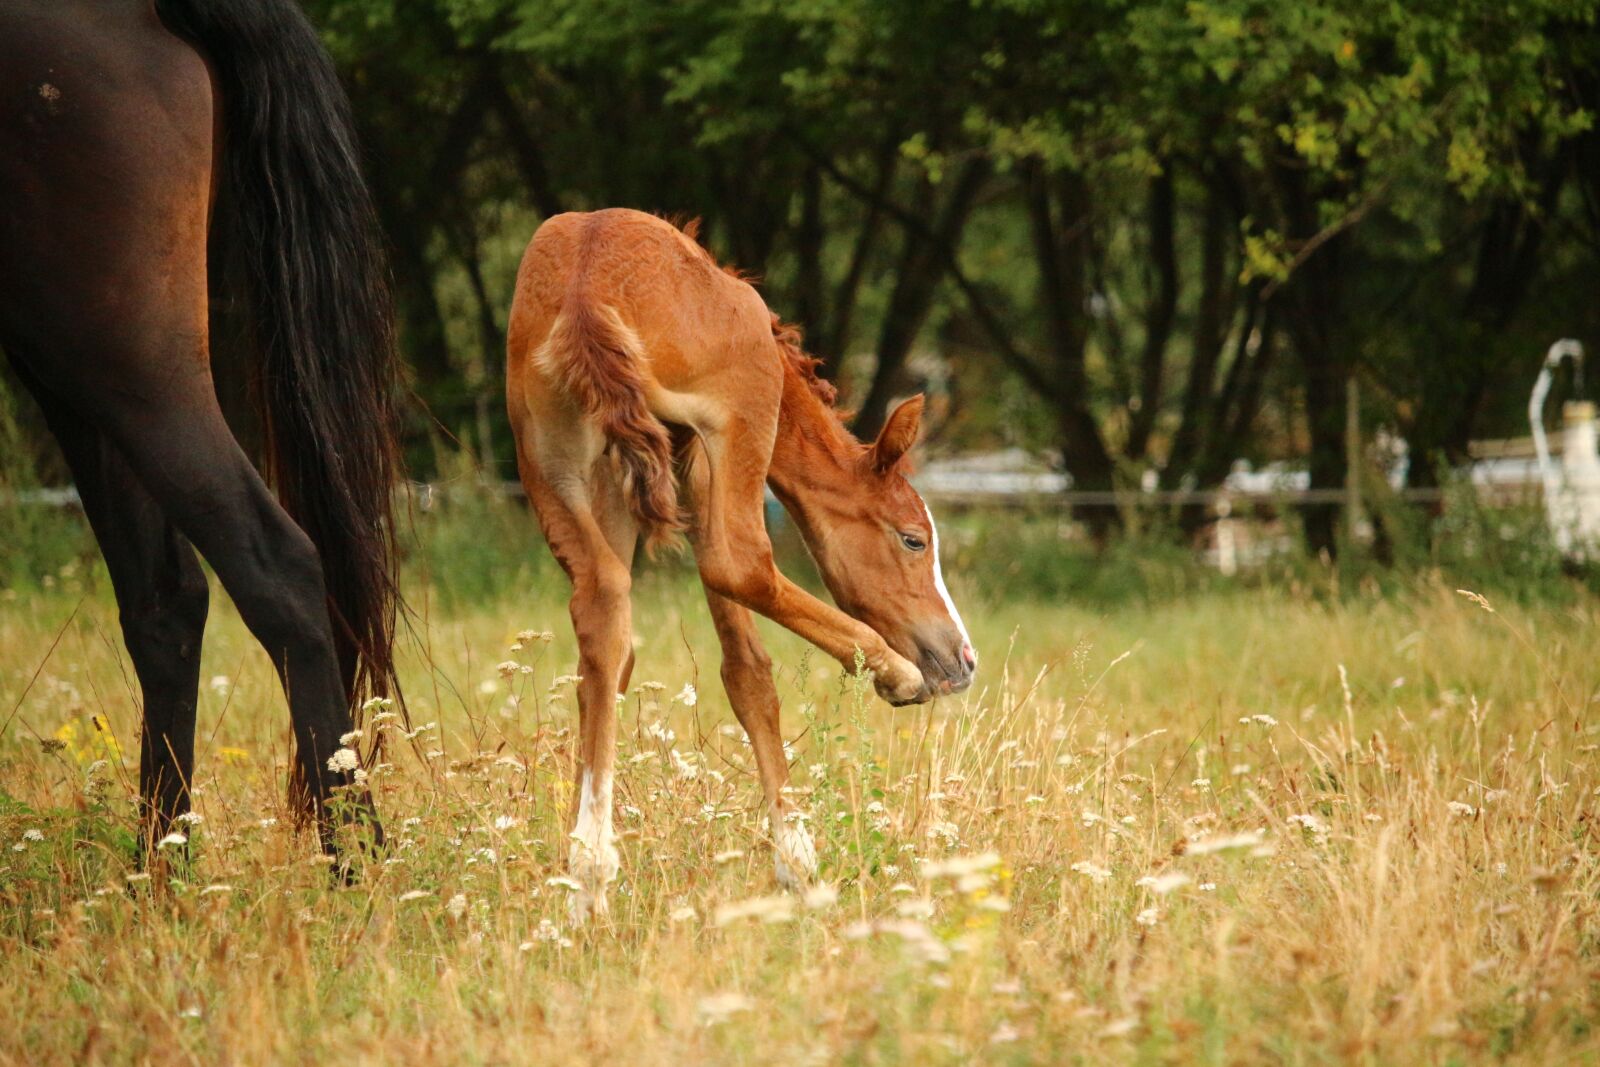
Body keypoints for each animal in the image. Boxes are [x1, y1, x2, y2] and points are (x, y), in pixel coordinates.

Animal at [0, 0, 402, 857]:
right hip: (76, 372)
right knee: (166, 601)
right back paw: (158, 872)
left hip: (117, 356)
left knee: (271, 565)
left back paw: (357, 861)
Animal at [506, 208, 977, 917]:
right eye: (914, 539)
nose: (962, 659)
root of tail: (587, 294)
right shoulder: (704, 449)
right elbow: (748, 666)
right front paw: (797, 862)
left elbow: (611, 666)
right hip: (726, 429)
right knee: (740, 564)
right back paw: (892, 670)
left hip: (552, 461)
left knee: (602, 612)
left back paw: (587, 877)